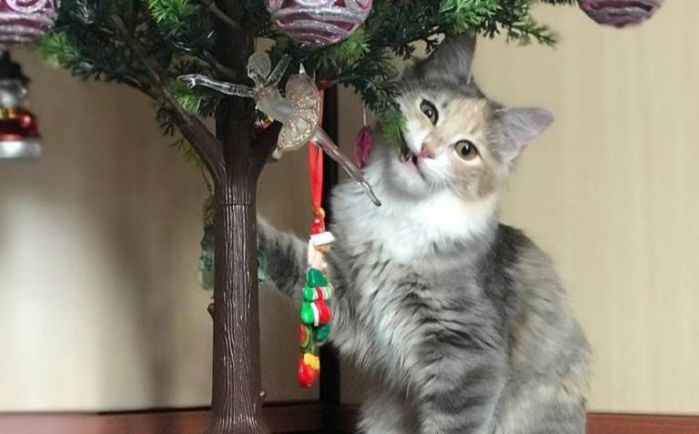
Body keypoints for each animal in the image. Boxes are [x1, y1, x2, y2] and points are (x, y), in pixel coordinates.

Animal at [258, 35, 590, 434]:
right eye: (429, 111)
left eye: (466, 150)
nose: (427, 150)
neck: (402, 210)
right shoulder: (350, 297)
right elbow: (291, 258)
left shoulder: (468, 357)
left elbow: (452, 425)